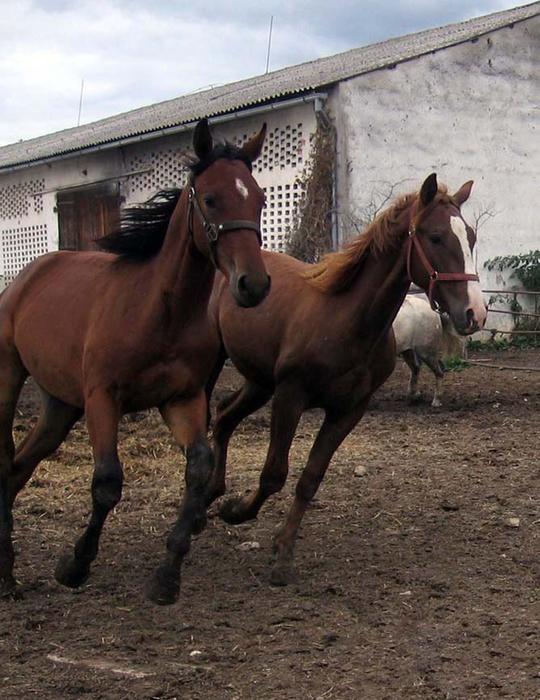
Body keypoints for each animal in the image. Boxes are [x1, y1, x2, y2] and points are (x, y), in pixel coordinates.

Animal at [0, 119, 270, 605]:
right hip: (10, 380)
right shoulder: (102, 398)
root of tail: (26, 276)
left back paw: (8, 574)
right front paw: (74, 565)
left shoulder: (182, 400)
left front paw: (167, 577)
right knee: (4, 463)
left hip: (59, 405)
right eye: (210, 198)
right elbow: (107, 483)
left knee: (16, 470)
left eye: (258, 198)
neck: (158, 312)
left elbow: (199, 467)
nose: (253, 285)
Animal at [205, 173, 487, 586]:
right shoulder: (290, 396)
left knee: (224, 418)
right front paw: (239, 512)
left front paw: (282, 550)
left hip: (259, 382)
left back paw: (211, 492)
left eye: (470, 236)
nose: (474, 313)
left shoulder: (348, 410)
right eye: (435, 237)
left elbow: (310, 477)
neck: (346, 318)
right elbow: (274, 473)